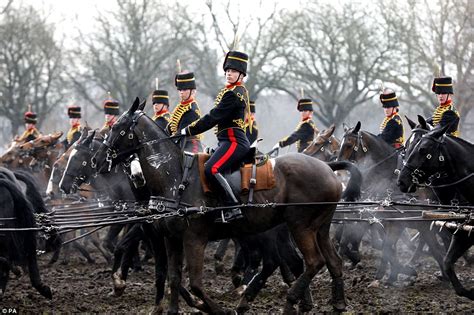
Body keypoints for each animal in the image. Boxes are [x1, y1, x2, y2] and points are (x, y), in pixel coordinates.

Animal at [65, 97, 362, 314]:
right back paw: (332, 302)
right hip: (315, 227)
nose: (99, 161)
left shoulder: (193, 238)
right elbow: (172, 276)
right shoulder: (170, 237)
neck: (173, 177)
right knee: (328, 261)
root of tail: (327, 166)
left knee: (311, 261)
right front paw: (169, 309)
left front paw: (215, 309)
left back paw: (287, 302)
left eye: (118, 128)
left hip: (299, 227)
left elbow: (194, 283)